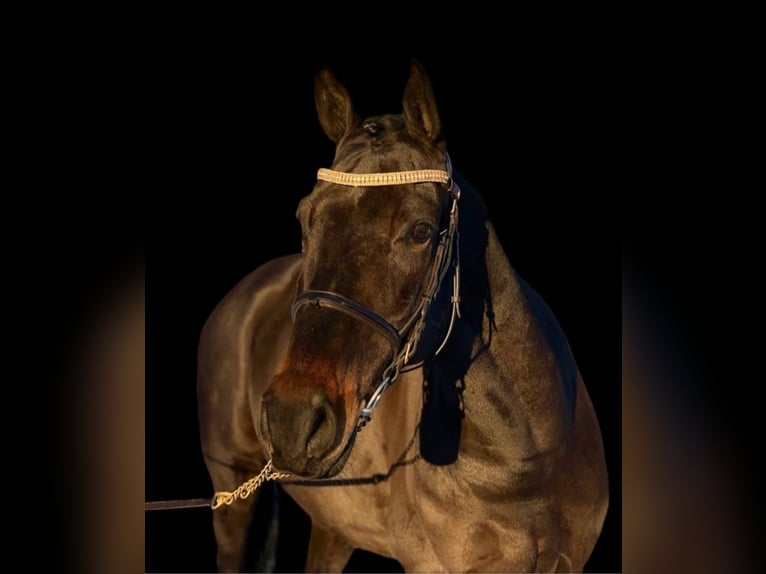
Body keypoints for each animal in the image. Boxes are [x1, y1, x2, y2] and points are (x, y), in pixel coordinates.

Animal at [200, 60, 612, 572]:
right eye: (303, 218)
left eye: (420, 231)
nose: (291, 419)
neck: (529, 456)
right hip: (230, 497)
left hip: (334, 527)